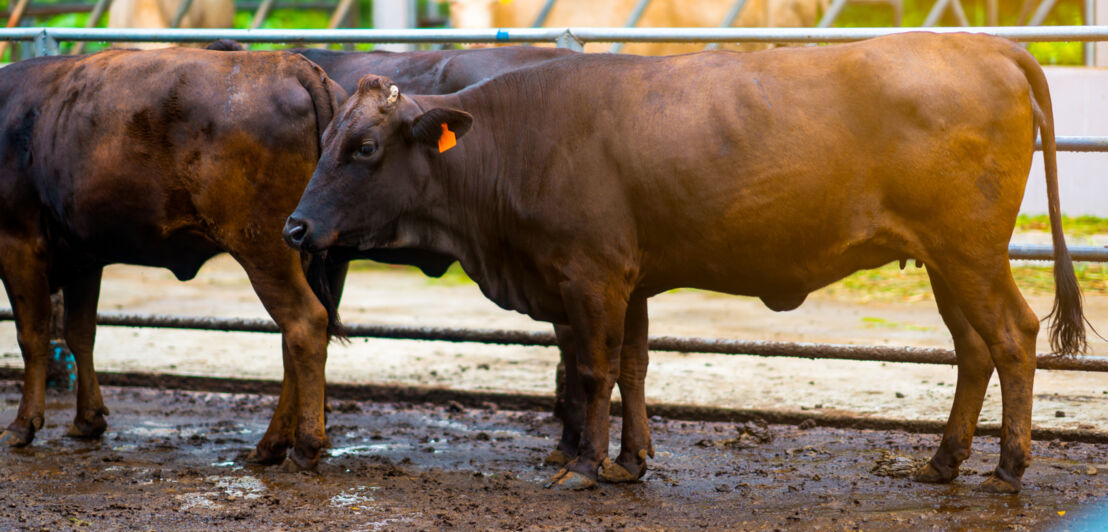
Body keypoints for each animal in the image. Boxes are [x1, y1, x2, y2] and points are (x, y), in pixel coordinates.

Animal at [0, 46, 341, 469]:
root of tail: (289, 64)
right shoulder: (84, 254)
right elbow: (81, 333)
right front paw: (88, 419)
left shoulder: (17, 241)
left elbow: (33, 335)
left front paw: (22, 425)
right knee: (294, 337)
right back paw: (273, 444)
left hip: (265, 250)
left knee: (304, 325)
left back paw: (302, 445)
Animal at [285, 31, 1090, 492]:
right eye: (324, 143)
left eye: (365, 148)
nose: (296, 226)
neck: (514, 143)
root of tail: (987, 46)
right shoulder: (629, 280)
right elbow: (633, 367)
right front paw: (630, 460)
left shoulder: (591, 277)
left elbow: (592, 370)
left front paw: (583, 465)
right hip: (945, 260)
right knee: (972, 351)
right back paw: (943, 461)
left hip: (970, 252)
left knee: (1013, 337)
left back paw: (1009, 469)